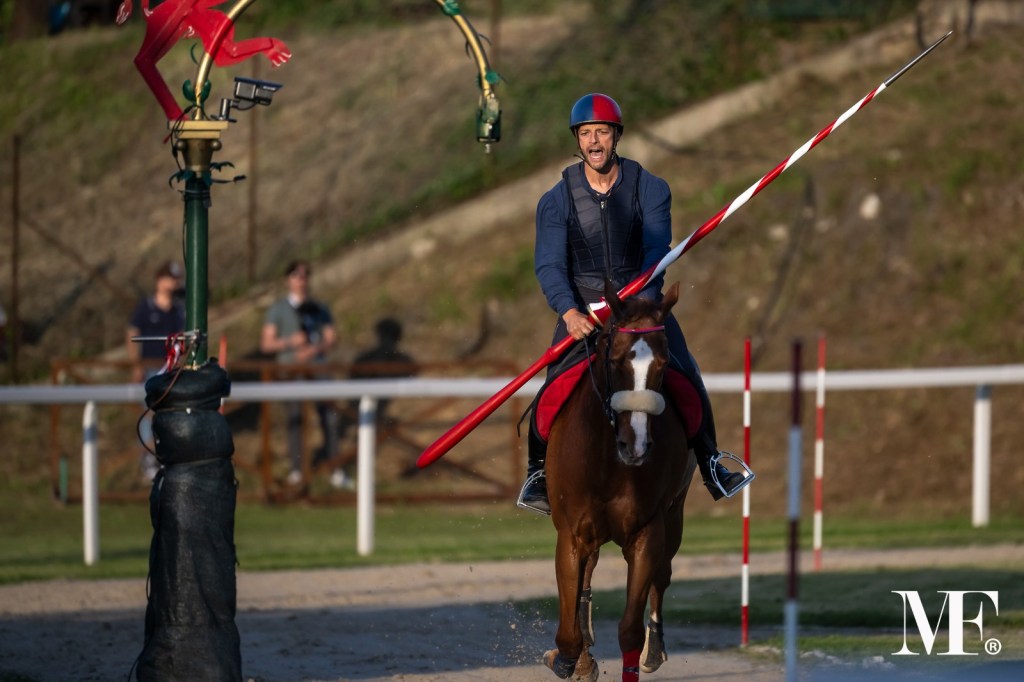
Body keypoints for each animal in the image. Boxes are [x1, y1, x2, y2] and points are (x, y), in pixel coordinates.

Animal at [542, 281, 697, 682]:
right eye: (615, 360)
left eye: (663, 364)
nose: (636, 444)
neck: (609, 462)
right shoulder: (572, 534)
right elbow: (568, 635)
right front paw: (571, 660)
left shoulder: (647, 532)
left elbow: (629, 628)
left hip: (675, 515)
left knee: (664, 575)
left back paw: (654, 648)